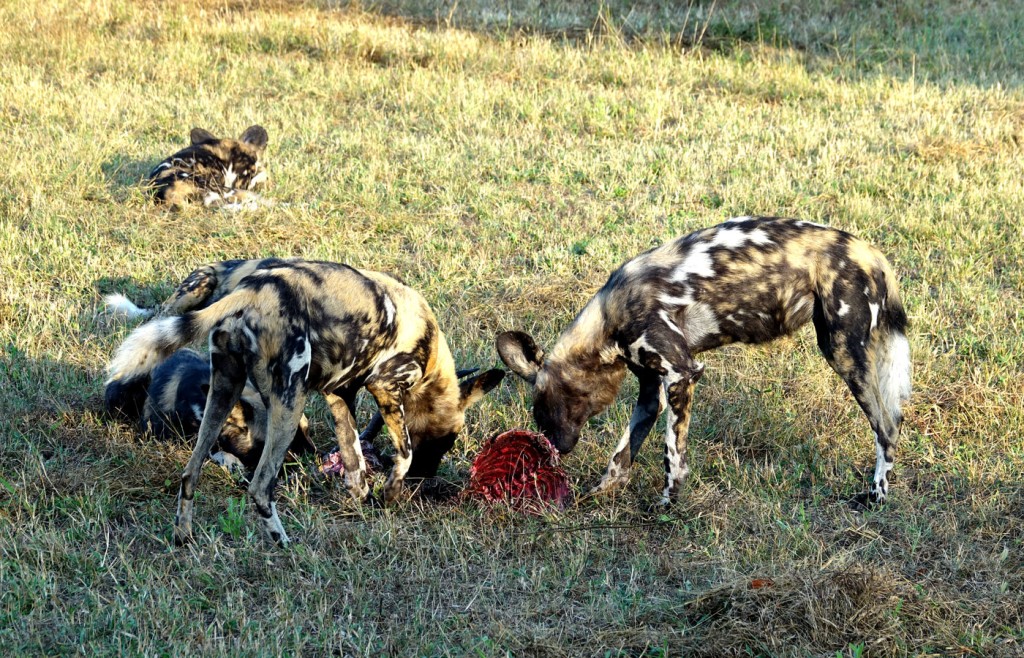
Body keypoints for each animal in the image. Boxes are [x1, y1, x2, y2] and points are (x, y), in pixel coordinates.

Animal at [495, 218, 913, 507]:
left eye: (541, 411)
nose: (557, 448)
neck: (607, 321)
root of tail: (871, 252)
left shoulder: (682, 374)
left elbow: (672, 454)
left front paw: (667, 504)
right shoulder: (651, 392)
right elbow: (621, 456)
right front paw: (597, 494)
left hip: (843, 352)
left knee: (887, 425)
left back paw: (876, 496)